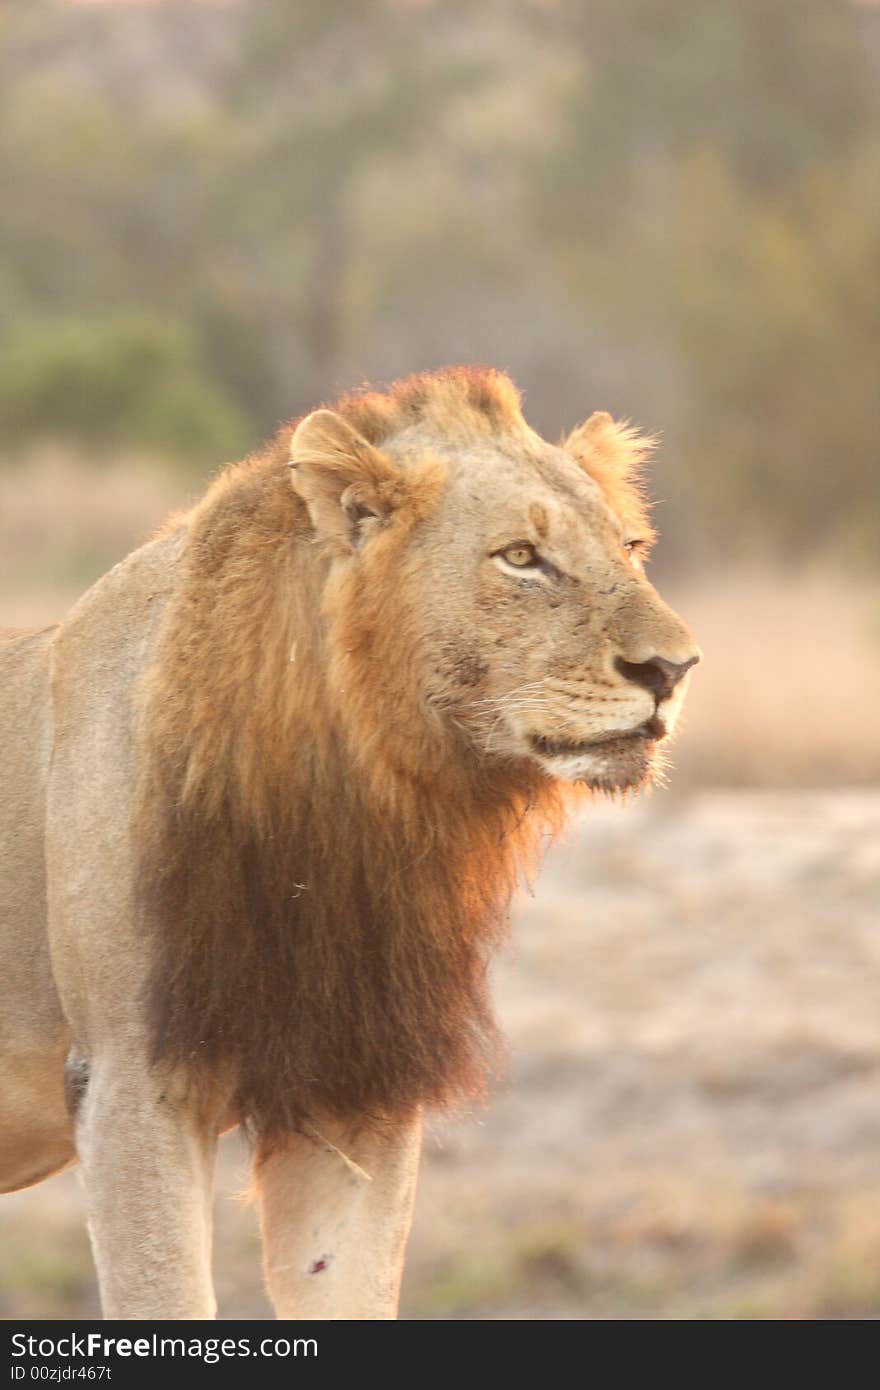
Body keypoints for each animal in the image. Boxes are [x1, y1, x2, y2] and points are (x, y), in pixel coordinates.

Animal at [1, 366, 700, 1312]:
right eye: (521, 558)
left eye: (631, 548)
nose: (673, 669)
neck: (351, 797)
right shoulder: (127, 1080)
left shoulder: (354, 1085)